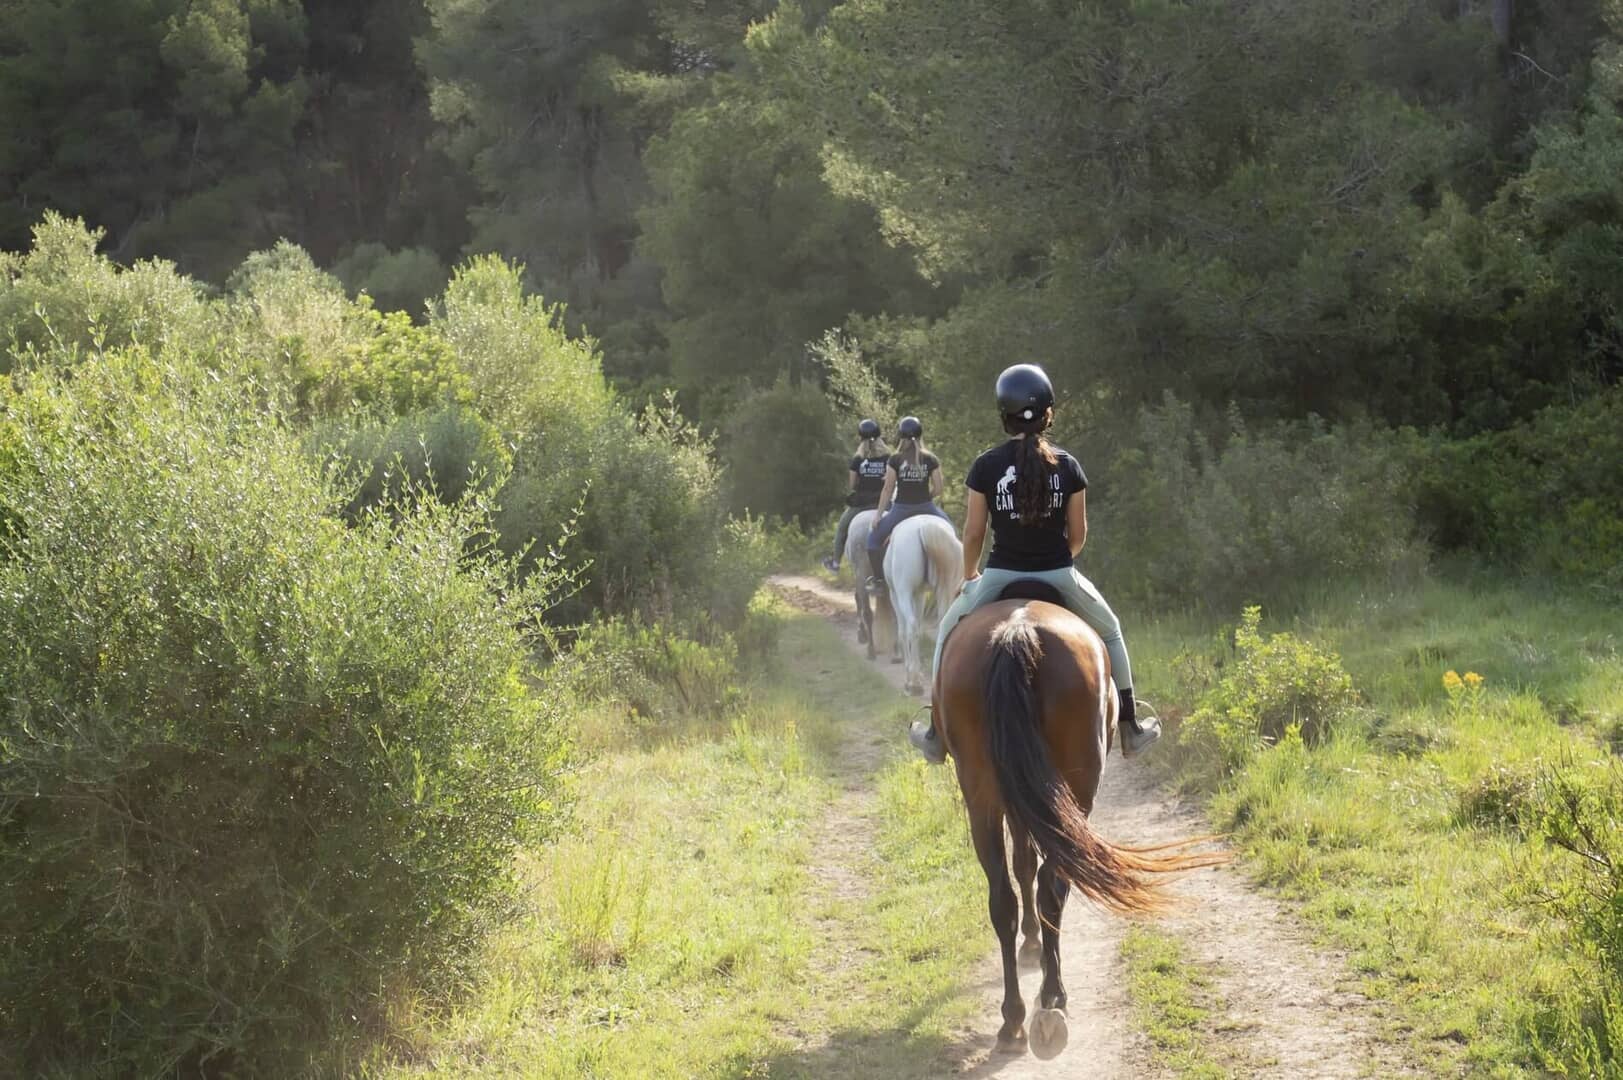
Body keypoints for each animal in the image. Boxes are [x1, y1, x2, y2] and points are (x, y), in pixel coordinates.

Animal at [881, 515, 962, 695]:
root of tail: (923, 527)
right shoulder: (919, 594)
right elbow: (918, 627)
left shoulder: (895, 595)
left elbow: (903, 631)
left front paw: (910, 676)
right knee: (943, 624)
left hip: (902, 593)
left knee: (910, 626)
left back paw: (914, 683)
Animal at [933, 588, 1225, 1058]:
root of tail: (1018, 633)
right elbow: (1031, 869)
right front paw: (1037, 952)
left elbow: (1022, 865)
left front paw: (1031, 945)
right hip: (1075, 791)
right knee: (1053, 887)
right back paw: (1052, 1001)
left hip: (982, 794)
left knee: (1004, 898)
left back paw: (1013, 1021)